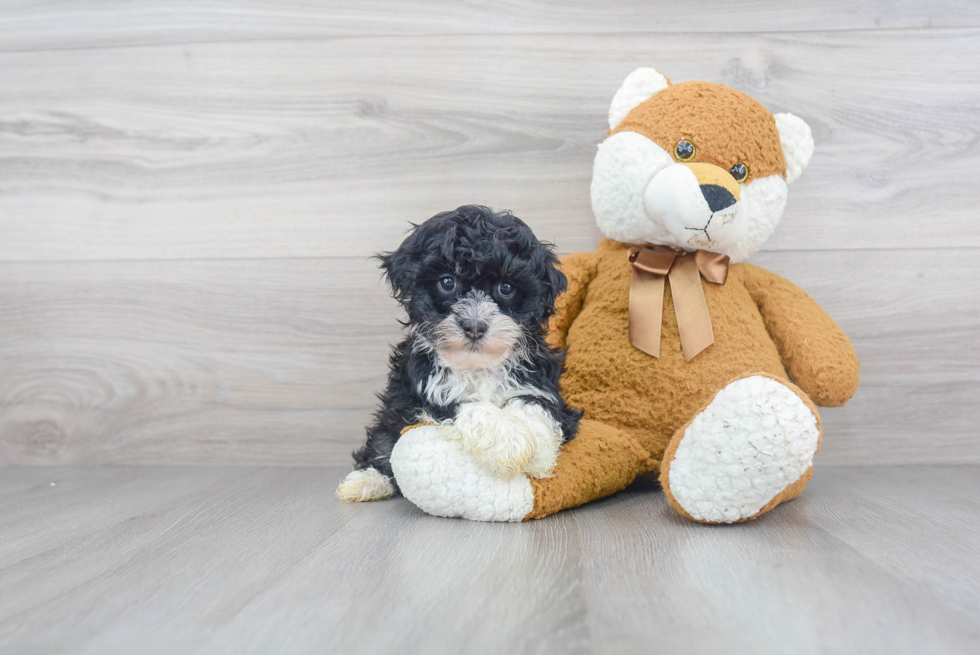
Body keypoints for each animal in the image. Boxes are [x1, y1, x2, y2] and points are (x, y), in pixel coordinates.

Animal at [338, 205, 580, 502]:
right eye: (447, 282)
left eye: (506, 288)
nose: (474, 326)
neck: (477, 365)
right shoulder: (420, 394)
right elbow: (466, 405)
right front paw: (509, 444)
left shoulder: (542, 384)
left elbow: (535, 406)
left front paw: (537, 454)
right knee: (383, 438)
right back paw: (366, 480)